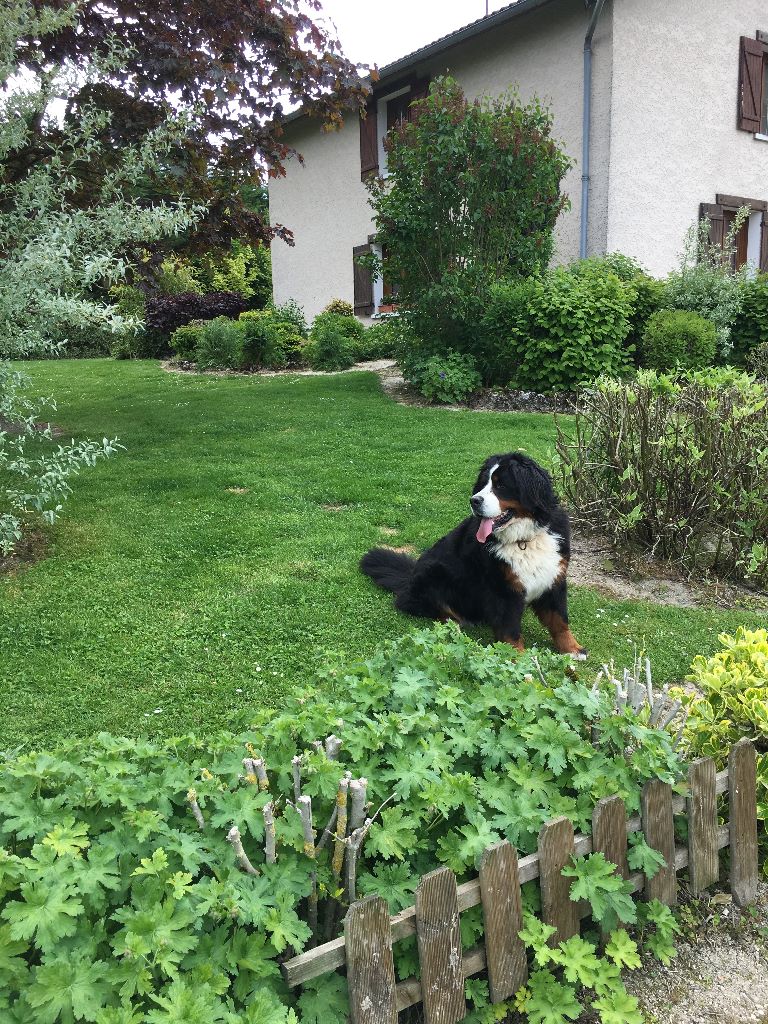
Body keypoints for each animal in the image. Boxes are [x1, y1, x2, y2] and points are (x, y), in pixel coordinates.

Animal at [364, 452, 585, 659]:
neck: (523, 539)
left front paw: (573, 649)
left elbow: (560, 620)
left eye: (501, 484)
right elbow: (511, 630)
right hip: (433, 573)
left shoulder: (553, 579)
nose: (474, 500)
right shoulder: (503, 590)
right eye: (482, 484)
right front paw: (517, 659)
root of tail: (409, 577)